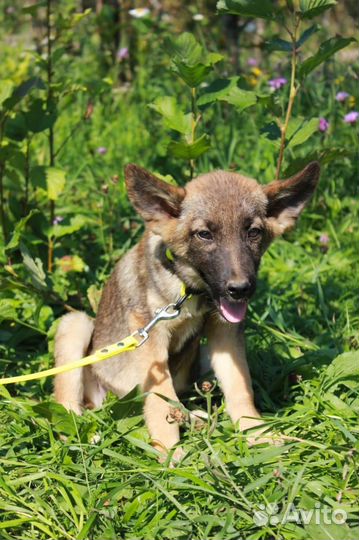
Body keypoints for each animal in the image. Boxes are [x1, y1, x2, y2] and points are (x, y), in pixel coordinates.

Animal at [55, 163, 320, 456]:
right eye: (204, 234)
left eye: (253, 232)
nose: (240, 290)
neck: (189, 290)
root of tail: (111, 399)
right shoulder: (151, 340)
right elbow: (161, 401)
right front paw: (169, 451)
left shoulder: (225, 334)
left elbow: (240, 386)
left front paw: (256, 432)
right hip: (75, 325)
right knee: (70, 406)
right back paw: (82, 437)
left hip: (202, 359)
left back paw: (196, 418)